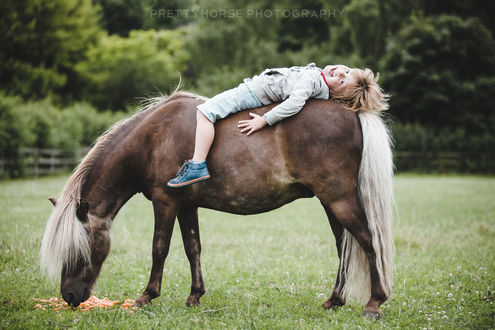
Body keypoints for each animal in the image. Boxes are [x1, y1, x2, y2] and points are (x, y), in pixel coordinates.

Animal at [39, 91, 396, 318]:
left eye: (78, 249)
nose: (69, 297)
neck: (152, 138)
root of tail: (352, 112)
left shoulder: (165, 203)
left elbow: (159, 248)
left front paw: (146, 296)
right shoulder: (186, 206)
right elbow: (192, 248)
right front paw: (195, 296)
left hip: (339, 200)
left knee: (368, 241)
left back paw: (374, 303)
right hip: (330, 202)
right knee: (344, 247)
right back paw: (334, 301)